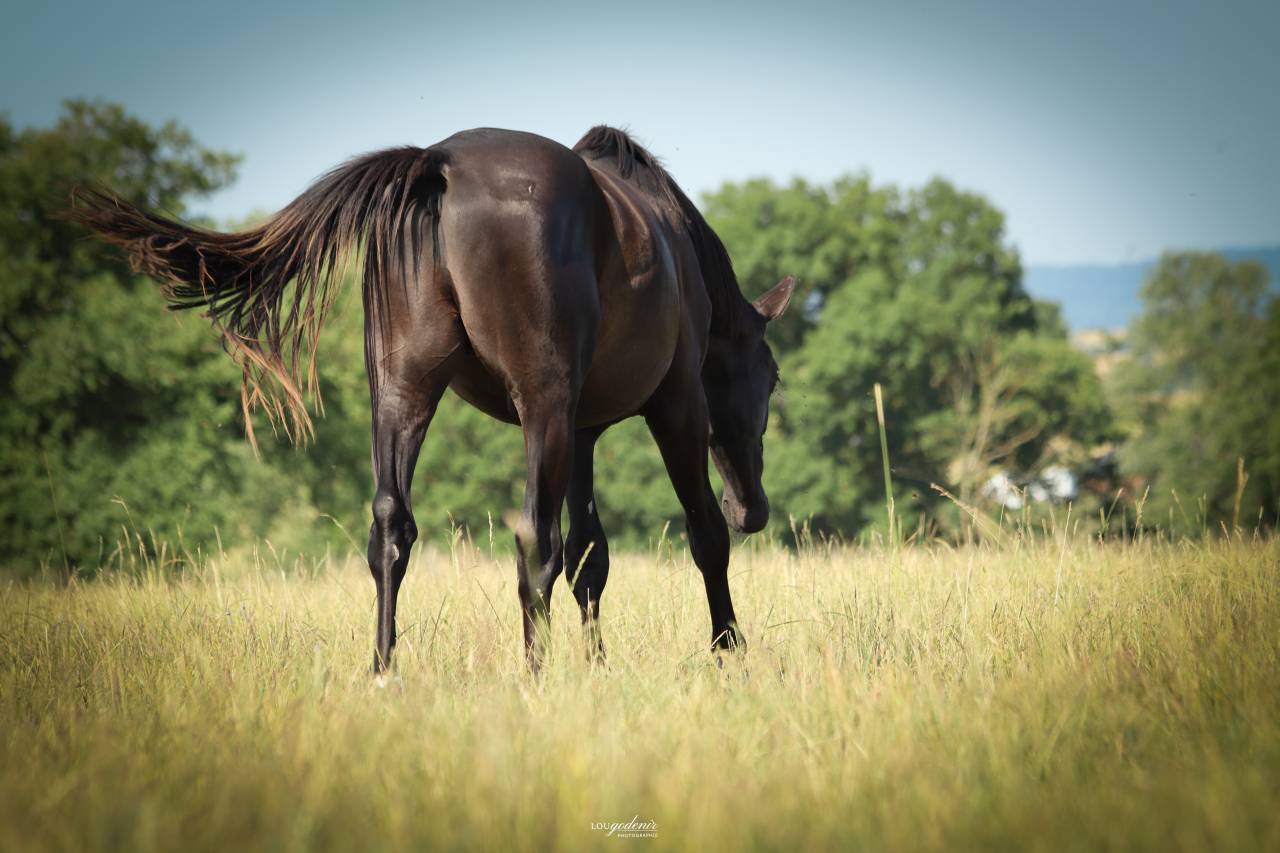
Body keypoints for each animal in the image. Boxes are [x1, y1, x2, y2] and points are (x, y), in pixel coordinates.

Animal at [69, 125, 795, 671]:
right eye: (771, 377)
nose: (753, 509)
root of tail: (438, 164)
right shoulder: (676, 406)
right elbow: (700, 537)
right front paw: (730, 654)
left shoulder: (584, 431)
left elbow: (591, 555)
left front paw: (599, 666)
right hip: (543, 405)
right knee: (533, 538)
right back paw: (534, 676)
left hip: (406, 392)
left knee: (393, 527)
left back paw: (384, 669)